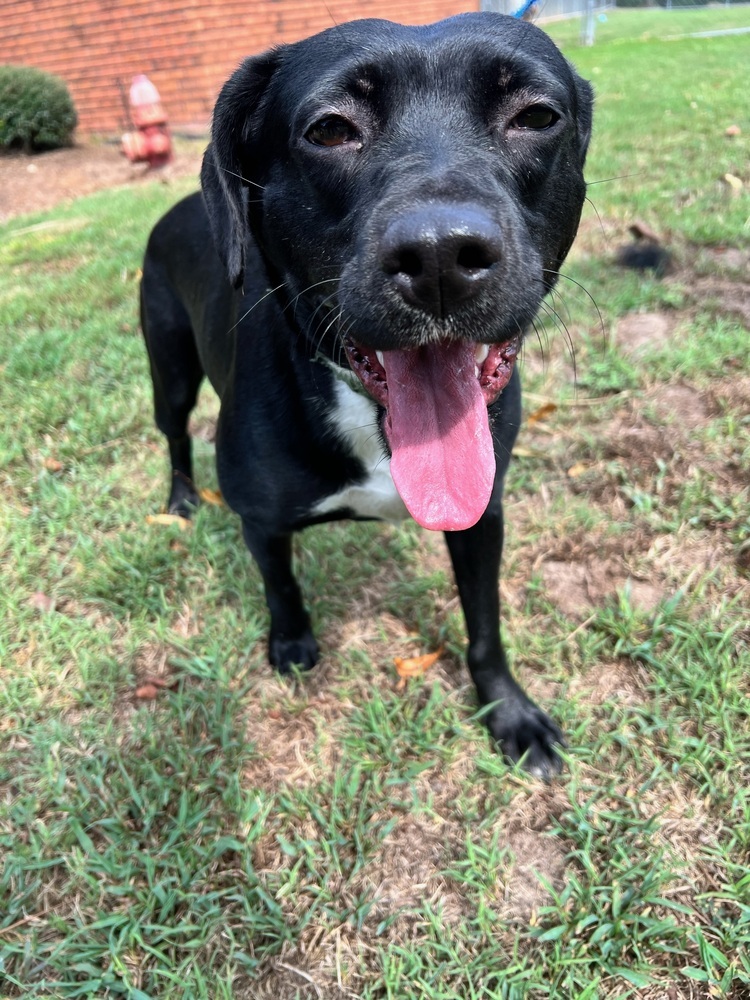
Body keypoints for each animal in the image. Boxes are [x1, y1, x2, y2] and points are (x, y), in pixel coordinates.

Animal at [142, 11, 592, 772]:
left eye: (536, 116)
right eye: (329, 129)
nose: (440, 256)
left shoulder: (484, 516)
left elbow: (484, 623)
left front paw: (508, 711)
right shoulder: (260, 520)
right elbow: (280, 583)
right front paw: (292, 641)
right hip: (168, 370)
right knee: (174, 434)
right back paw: (180, 499)